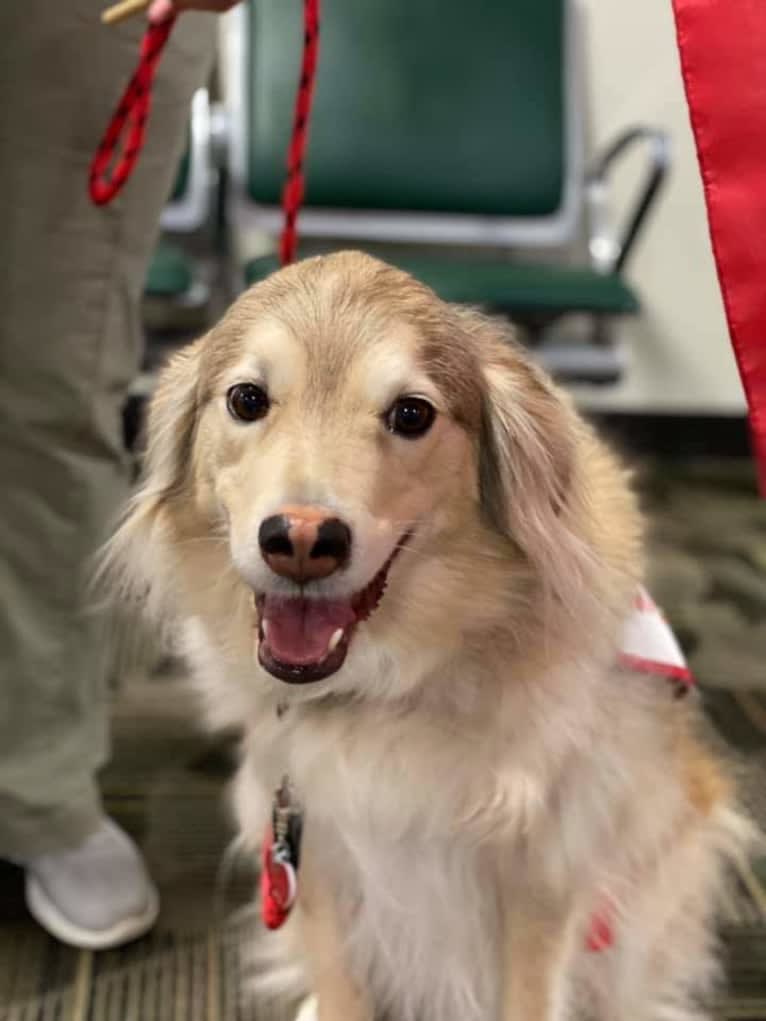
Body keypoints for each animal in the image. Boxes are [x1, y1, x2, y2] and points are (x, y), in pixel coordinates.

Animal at [110, 253, 751, 1021]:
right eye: (246, 399)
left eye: (411, 413)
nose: (301, 540)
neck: (393, 684)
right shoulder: (313, 845)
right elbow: (340, 985)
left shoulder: (545, 870)